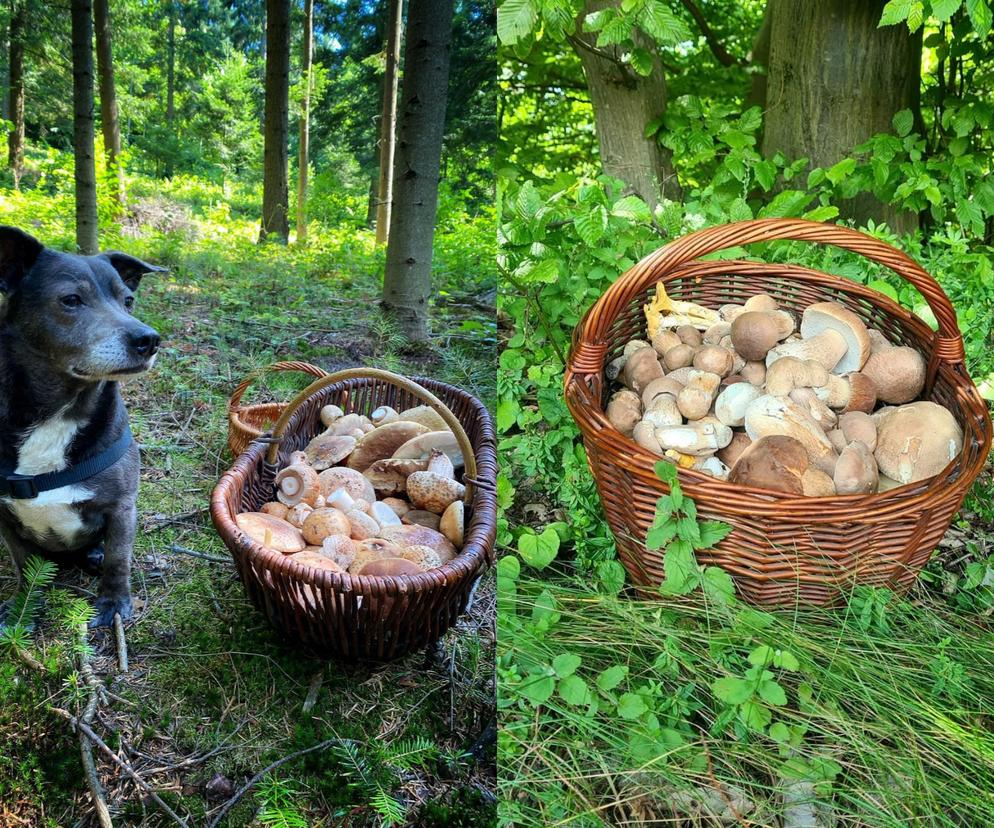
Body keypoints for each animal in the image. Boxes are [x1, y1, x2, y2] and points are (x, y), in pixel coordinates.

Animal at [0, 226, 165, 628]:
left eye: (128, 300)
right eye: (71, 300)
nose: (149, 340)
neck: (58, 412)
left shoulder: (121, 508)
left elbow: (119, 560)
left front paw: (114, 604)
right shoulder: (5, 519)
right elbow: (23, 563)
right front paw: (24, 607)